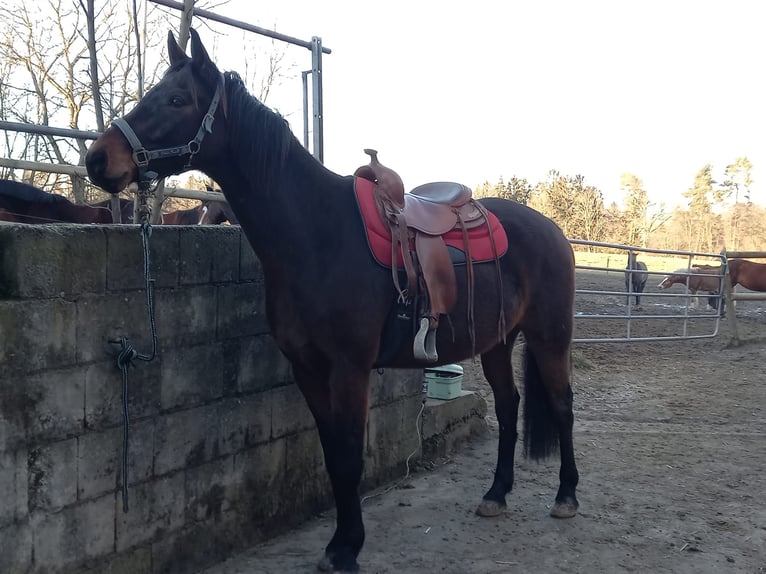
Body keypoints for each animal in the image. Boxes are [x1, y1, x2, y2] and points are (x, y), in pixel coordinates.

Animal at [84, 30, 580, 574]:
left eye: (176, 100)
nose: (97, 159)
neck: (317, 233)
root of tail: (552, 229)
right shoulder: (308, 368)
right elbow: (330, 454)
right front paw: (341, 541)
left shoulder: (349, 368)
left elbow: (348, 456)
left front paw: (346, 548)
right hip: (496, 341)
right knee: (510, 407)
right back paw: (496, 493)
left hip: (549, 338)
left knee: (562, 405)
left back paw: (566, 496)